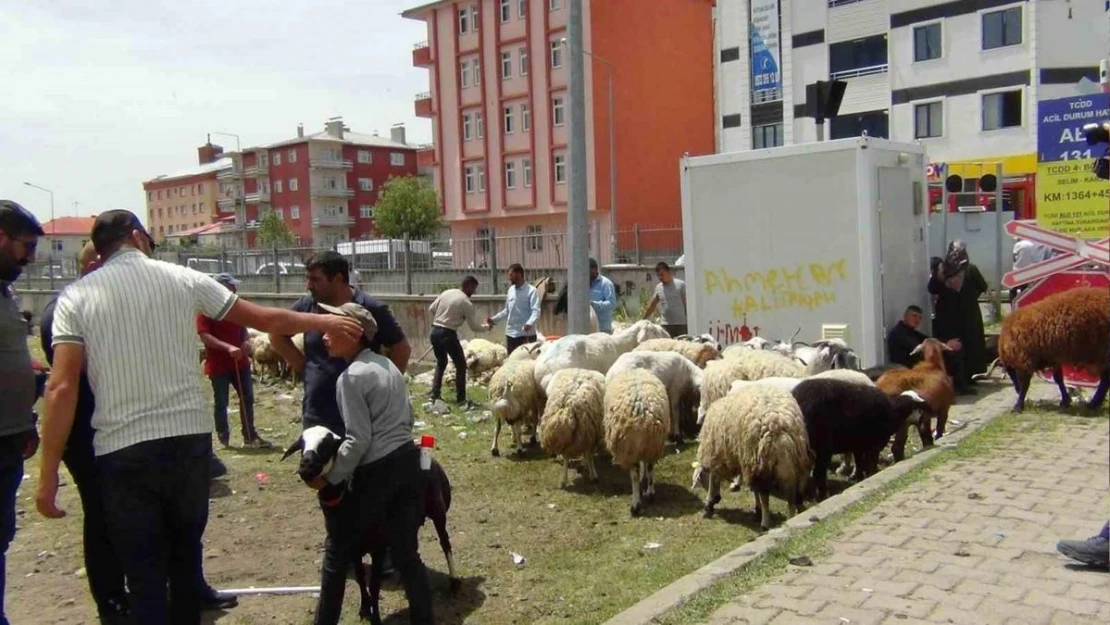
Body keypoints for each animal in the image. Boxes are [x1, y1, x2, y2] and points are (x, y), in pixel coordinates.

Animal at [286, 428, 463, 621]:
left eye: (327, 445)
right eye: (301, 445)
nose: (306, 466)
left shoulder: (378, 546)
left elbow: (374, 584)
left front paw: (375, 615)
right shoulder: (353, 548)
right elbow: (361, 578)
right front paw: (365, 608)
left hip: (438, 510)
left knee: (445, 544)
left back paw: (454, 583)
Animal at [603, 370, 670, 519]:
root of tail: (643, 412)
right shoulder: (646, 448)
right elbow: (645, 465)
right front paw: (644, 481)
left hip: (629, 448)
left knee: (634, 475)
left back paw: (635, 505)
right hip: (653, 444)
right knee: (650, 467)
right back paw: (650, 493)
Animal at [688, 386, 812, 532]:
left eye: (702, 481)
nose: (717, 499)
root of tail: (779, 422)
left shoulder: (719, 455)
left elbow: (714, 479)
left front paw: (708, 506)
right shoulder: (747, 461)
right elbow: (754, 489)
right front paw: (757, 510)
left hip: (763, 460)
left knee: (766, 494)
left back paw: (765, 523)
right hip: (795, 459)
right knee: (794, 490)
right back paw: (794, 513)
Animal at [790, 379, 927, 501]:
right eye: (918, 408)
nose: (921, 422)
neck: (894, 411)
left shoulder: (859, 444)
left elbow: (860, 463)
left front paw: (860, 479)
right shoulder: (874, 444)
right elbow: (871, 462)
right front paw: (872, 474)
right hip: (822, 447)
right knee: (818, 473)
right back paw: (823, 496)